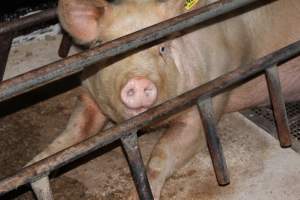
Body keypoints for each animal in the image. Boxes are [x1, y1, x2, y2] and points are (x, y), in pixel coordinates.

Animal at [27, 0, 300, 199]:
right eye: (106, 49)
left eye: (162, 48)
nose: (138, 81)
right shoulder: (89, 94)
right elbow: (74, 132)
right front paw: (34, 168)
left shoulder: (207, 100)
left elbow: (164, 152)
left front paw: (135, 196)